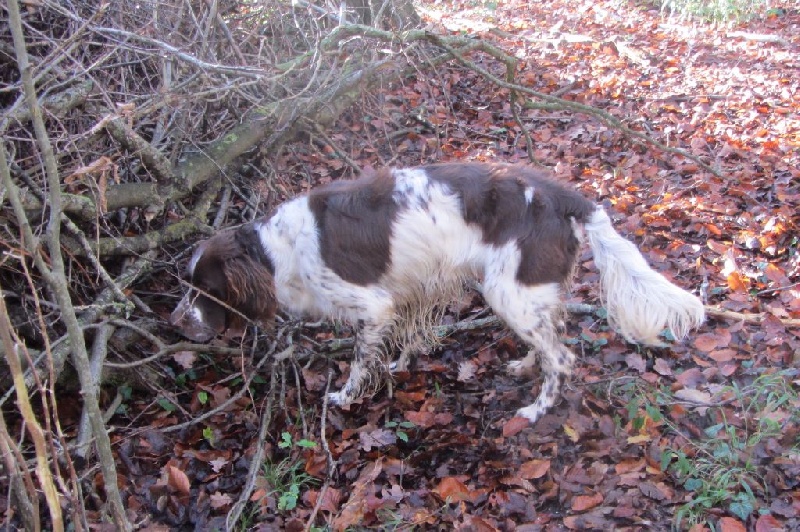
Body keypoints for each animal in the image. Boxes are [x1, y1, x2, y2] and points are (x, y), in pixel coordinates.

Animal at [172, 164, 704, 422]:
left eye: (206, 289)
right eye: (189, 285)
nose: (176, 322)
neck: (275, 251)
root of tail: (563, 196)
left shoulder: (372, 305)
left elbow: (359, 361)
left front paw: (344, 396)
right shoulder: (406, 292)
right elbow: (402, 340)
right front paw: (400, 365)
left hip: (507, 290)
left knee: (562, 358)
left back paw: (536, 409)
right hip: (528, 291)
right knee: (551, 335)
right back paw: (524, 365)